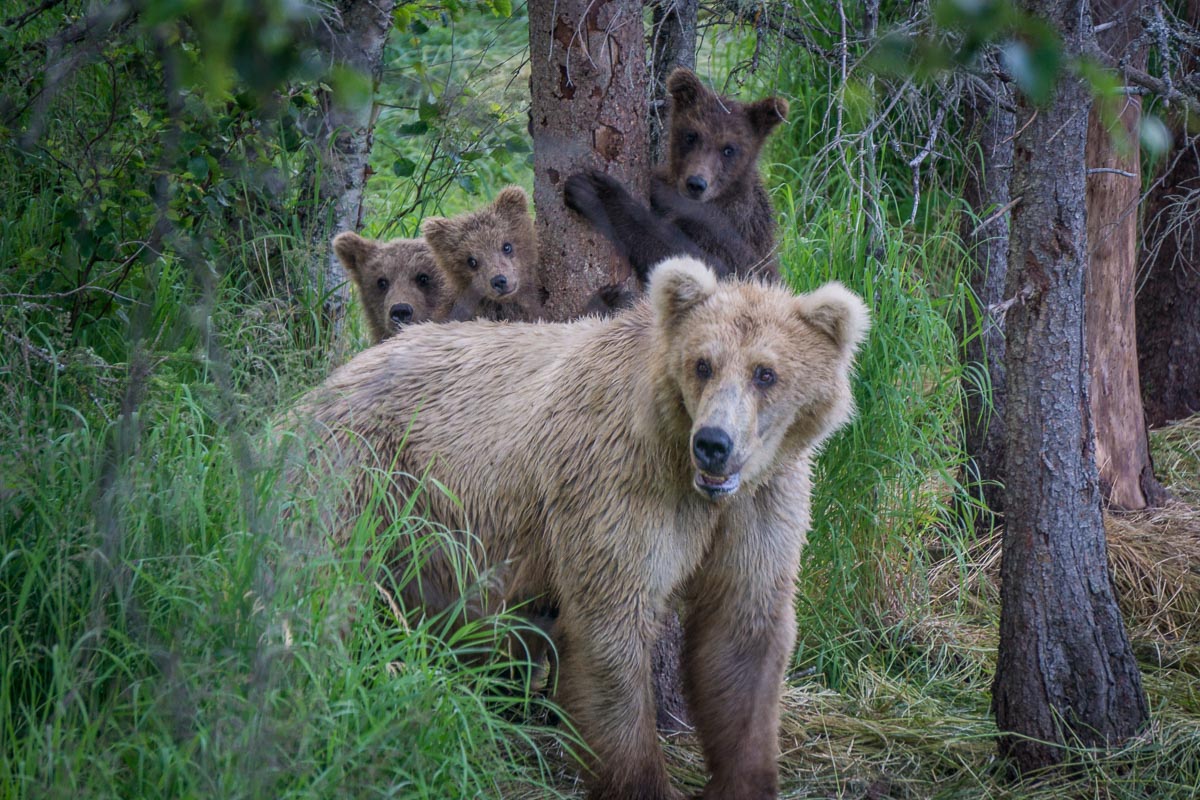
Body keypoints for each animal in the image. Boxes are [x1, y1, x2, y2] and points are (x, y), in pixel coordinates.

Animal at [291, 260, 873, 796]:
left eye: (764, 372)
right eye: (703, 363)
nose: (714, 443)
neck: (689, 475)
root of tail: (333, 377)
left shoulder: (759, 505)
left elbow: (742, 631)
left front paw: (741, 777)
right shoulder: (617, 484)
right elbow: (610, 628)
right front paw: (640, 780)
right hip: (365, 476)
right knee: (323, 582)